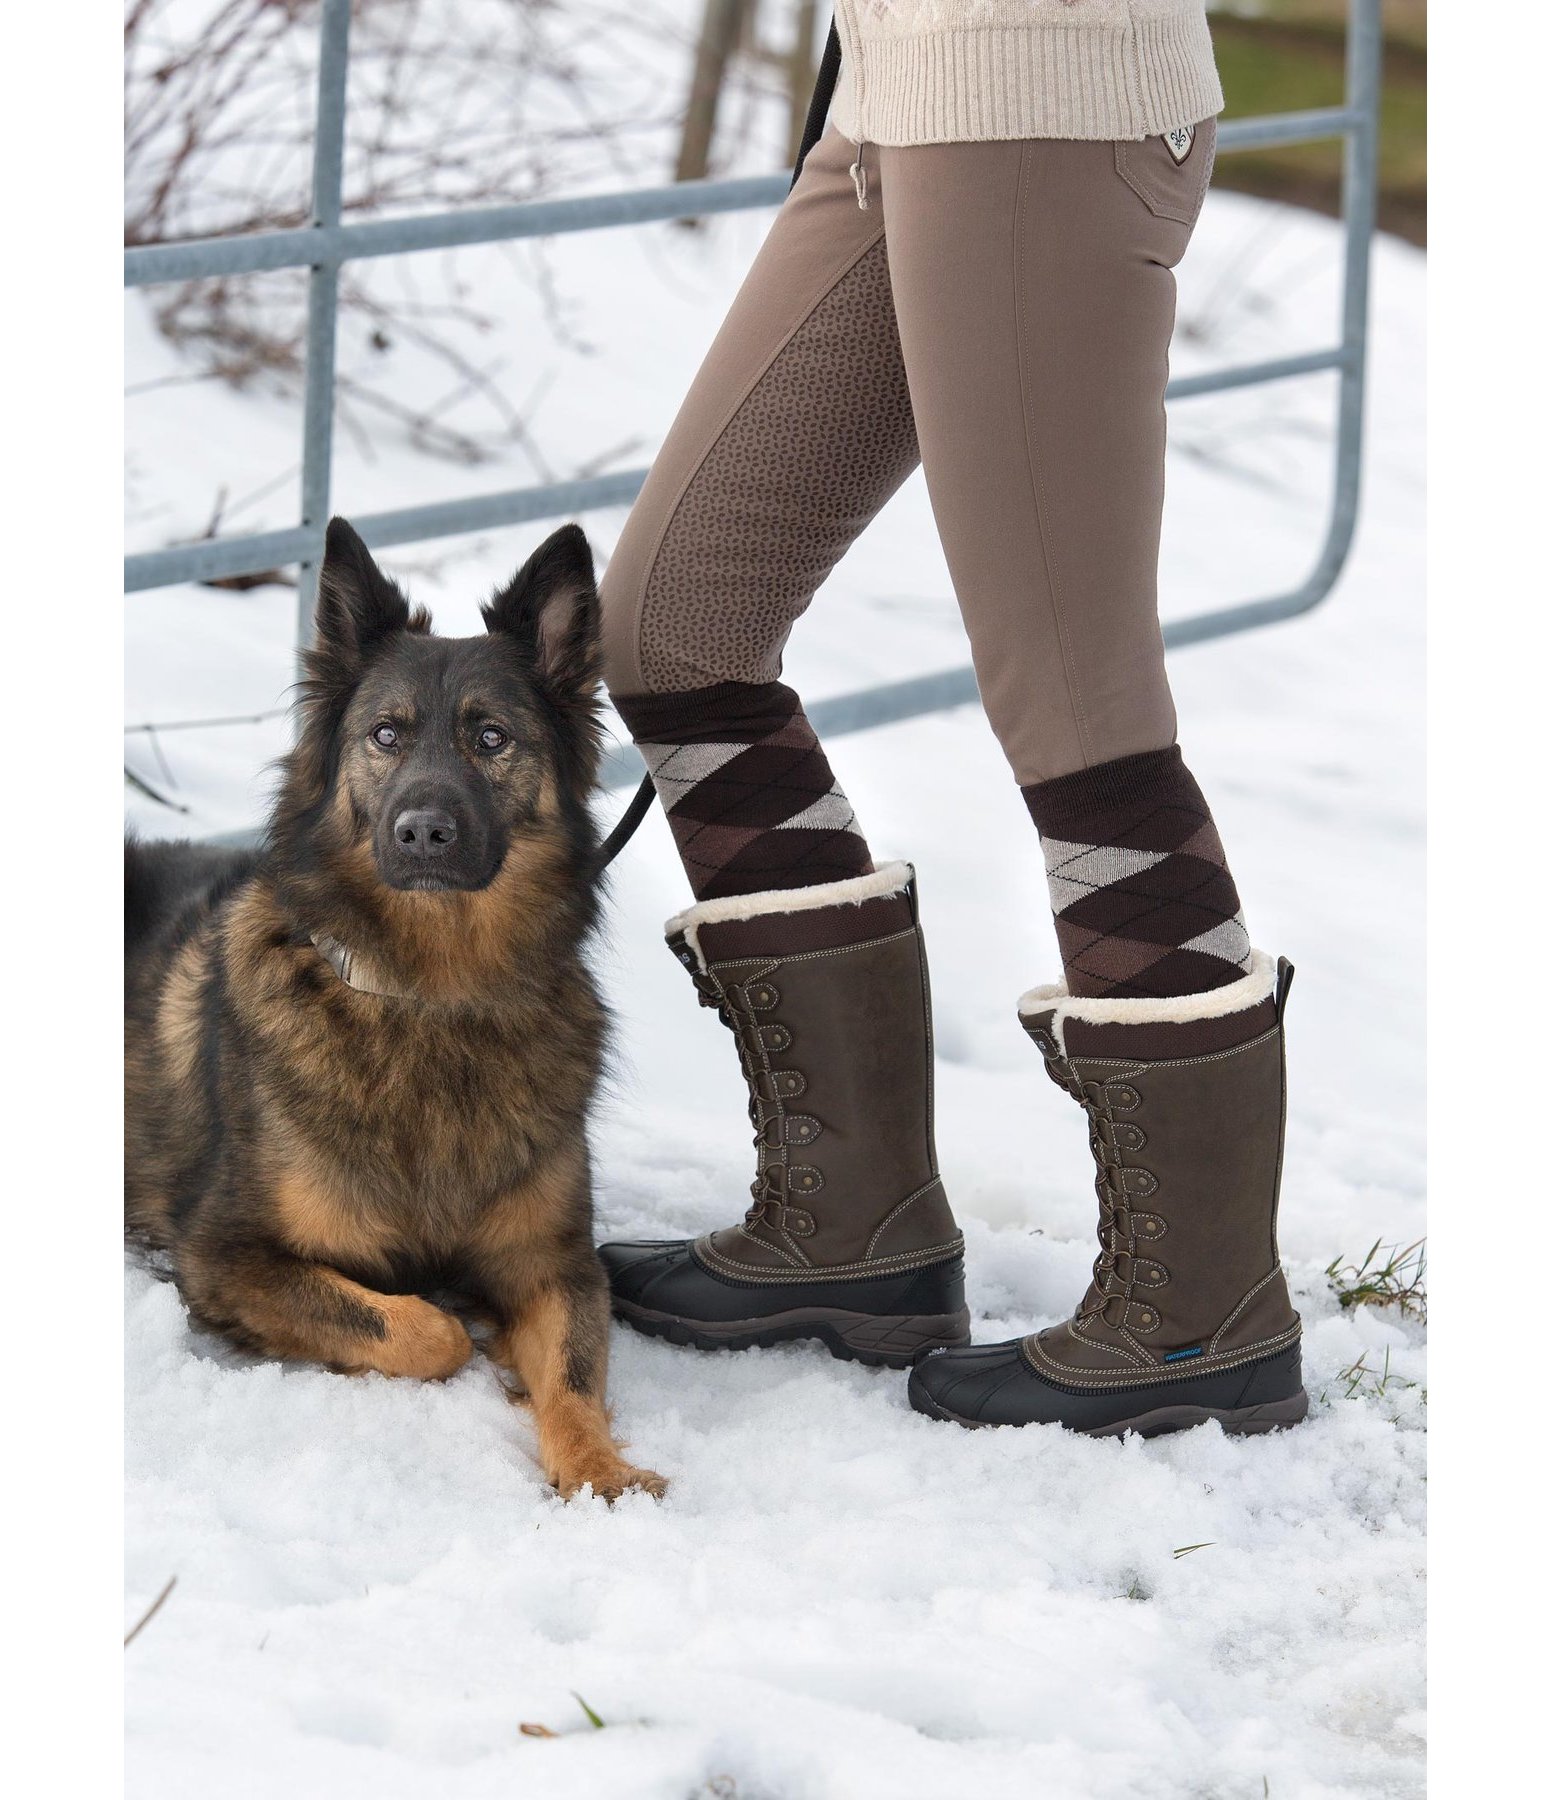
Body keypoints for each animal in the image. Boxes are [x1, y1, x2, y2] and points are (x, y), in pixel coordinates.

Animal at [125, 514, 658, 1497]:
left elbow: (573, 1375)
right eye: (385, 734)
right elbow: (422, 1327)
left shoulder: (554, 1262)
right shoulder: (224, 1254)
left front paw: (600, 1472)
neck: (431, 993)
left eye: (490, 737)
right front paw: (468, 1336)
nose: (422, 831)